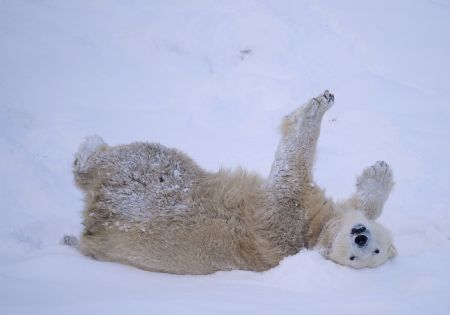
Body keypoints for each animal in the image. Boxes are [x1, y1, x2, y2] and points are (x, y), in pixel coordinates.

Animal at [67, 90, 398, 274]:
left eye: (366, 255)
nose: (361, 238)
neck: (311, 237)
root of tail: (95, 222)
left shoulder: (285, 219)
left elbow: (289, 175)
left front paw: (314, 110)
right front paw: (379, 173)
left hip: (149, 181)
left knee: (134, 158)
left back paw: (87, 150)